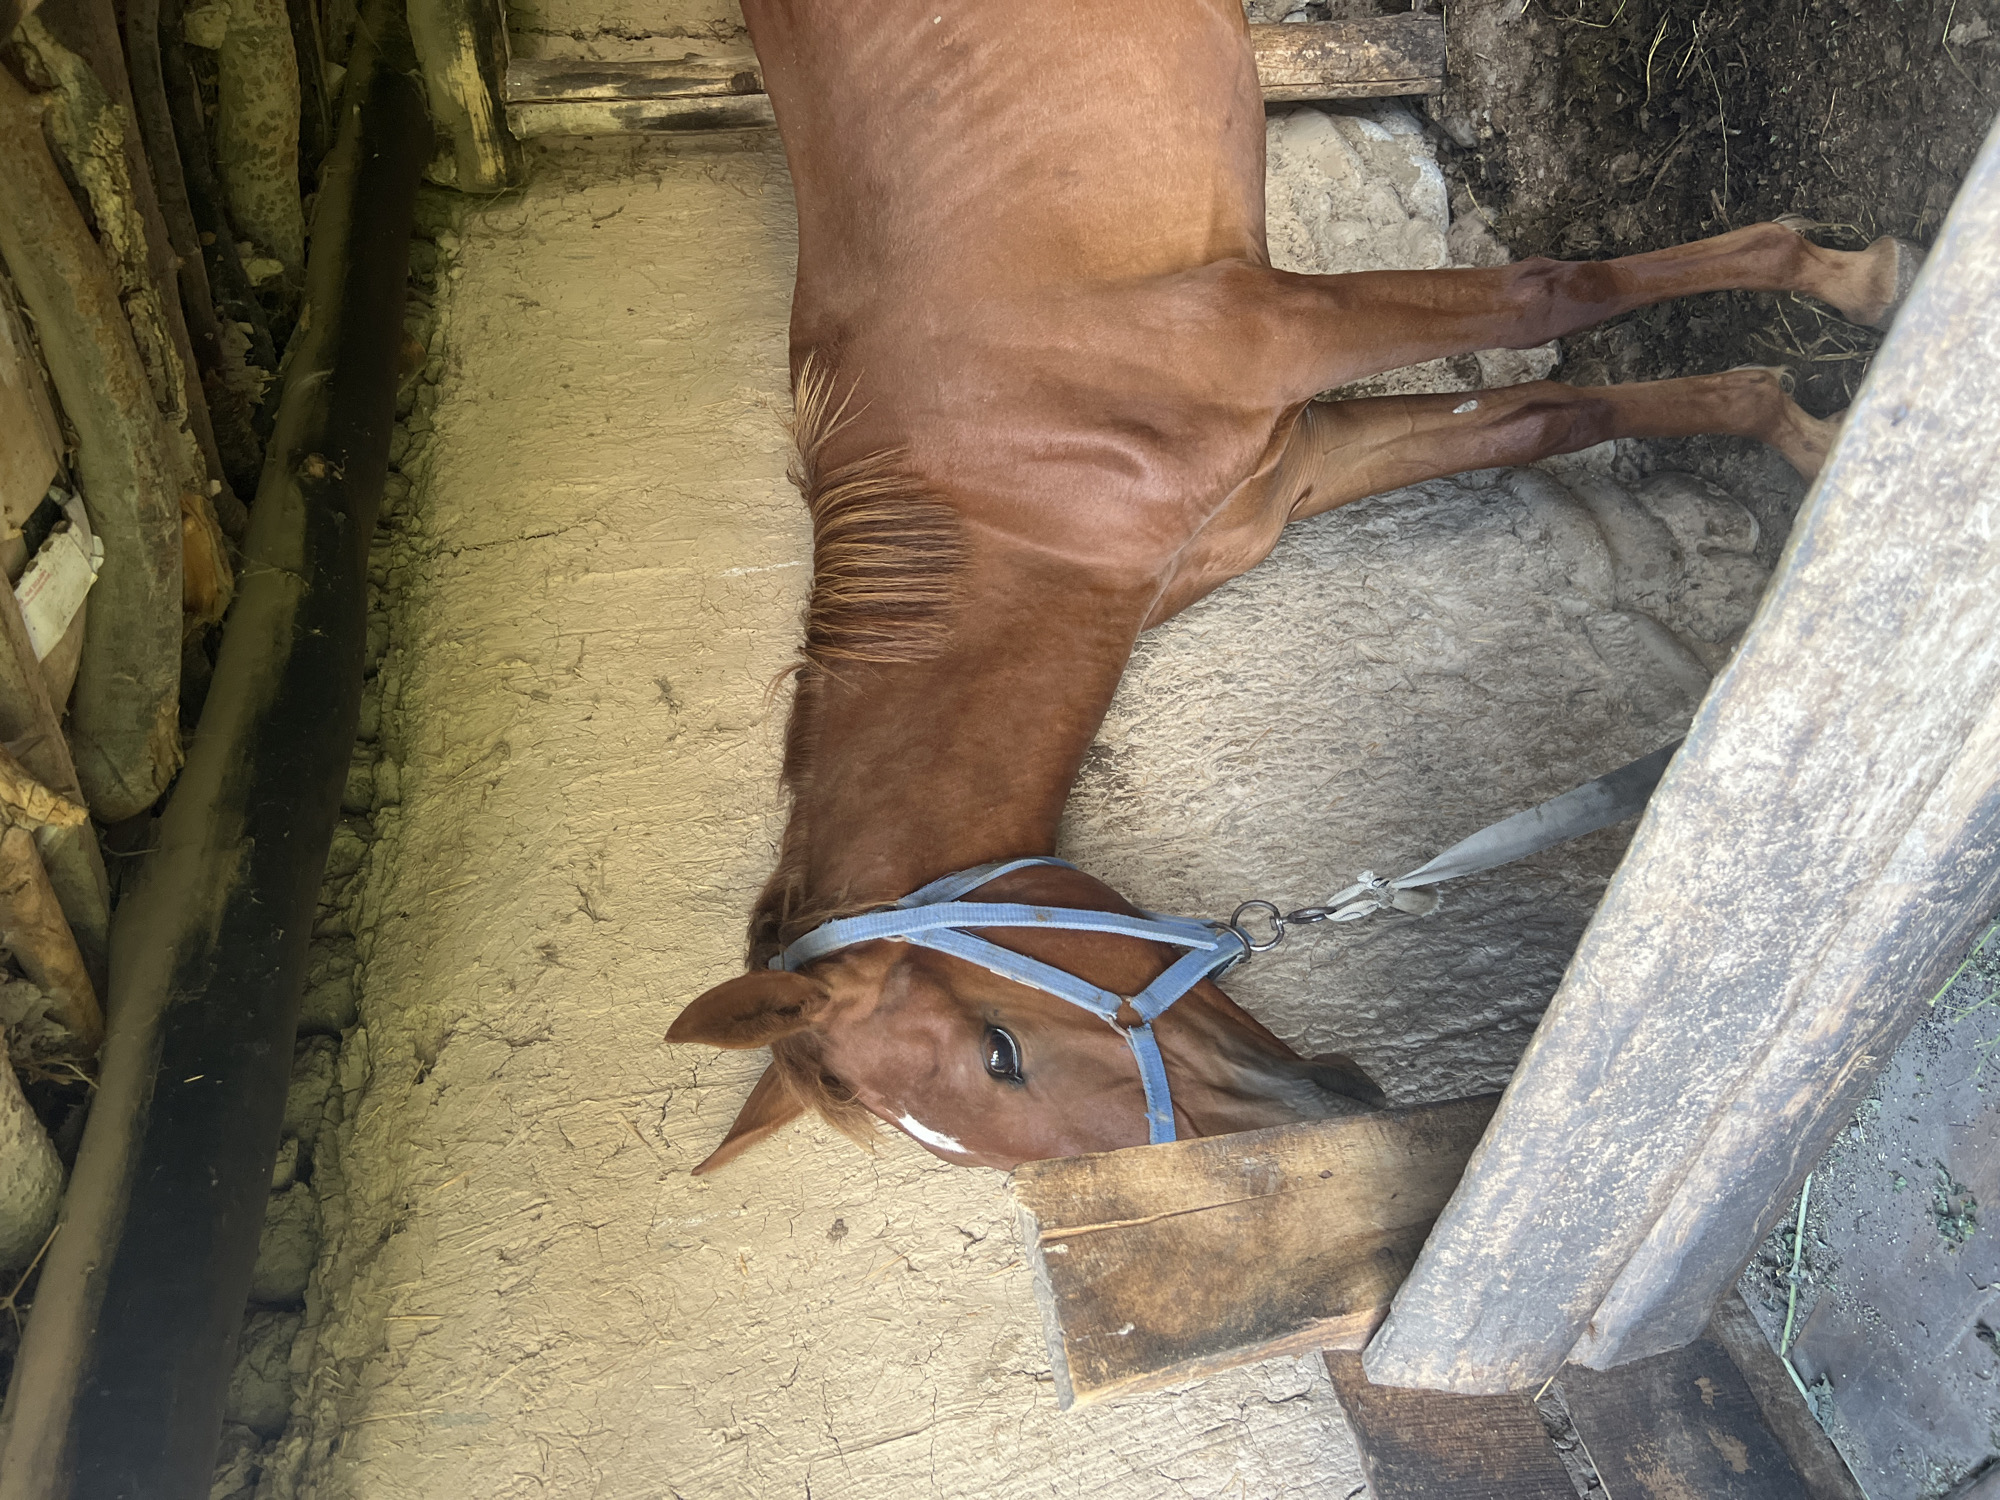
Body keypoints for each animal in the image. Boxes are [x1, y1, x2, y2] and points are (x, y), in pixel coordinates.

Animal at [664, 0, 1919, 1174]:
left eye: (999, 1052)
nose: (1309, 1118)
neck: (1007, 480)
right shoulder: (1288, 466)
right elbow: (1547, 413)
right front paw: (1798, 426)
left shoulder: (1283, 328)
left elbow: (1549, 295)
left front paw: (1852, 284)